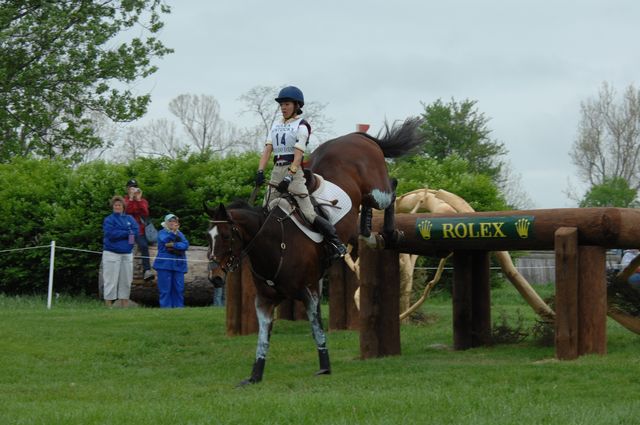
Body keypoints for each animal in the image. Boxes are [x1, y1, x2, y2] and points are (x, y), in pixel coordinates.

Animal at [206, 117, 424, 384]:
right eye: (208, 237)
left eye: (226, 236)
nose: (215, 277)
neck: (275, 243)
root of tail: (357, 136)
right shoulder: (265, 301)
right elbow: (262, 340)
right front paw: (255, 375)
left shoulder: (309, 292)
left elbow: (316, 329)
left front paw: (324, 367)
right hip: (364, 196)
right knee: (368, 207)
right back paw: (367, 231)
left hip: (376, 189)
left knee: (391, 189)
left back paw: (390, 232)